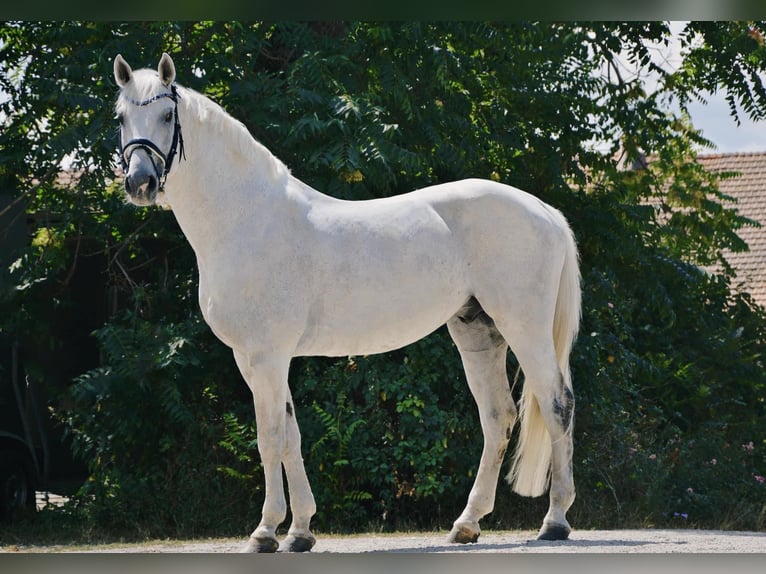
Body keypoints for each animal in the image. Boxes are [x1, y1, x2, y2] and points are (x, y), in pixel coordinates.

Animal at [114, 54, 584, 552]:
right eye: (121, 118)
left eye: (168, 115)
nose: (140, 183)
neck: (247, 218)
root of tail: (544, 212)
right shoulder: (257, 359)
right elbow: (291, 437)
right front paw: (300, 531)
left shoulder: (265, 356)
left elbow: (269, 437)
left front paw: (265, 531)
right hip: (477, 331)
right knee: (498, 417)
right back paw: (466, 524)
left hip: (525, 329)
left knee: (557, 404)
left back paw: (555, 522)